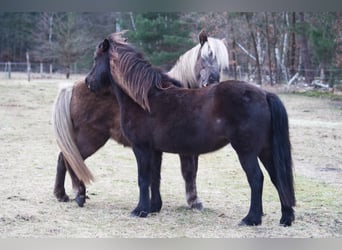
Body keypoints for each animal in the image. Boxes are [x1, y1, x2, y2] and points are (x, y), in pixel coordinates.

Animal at [52, 29, 228, 209]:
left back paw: (62, 194)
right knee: (69, 158)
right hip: (91, 139)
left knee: (65, 158)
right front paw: (193, 201)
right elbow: (188, 171)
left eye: (221, 65)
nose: (211, 83)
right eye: (204, 58)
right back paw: (78, 194)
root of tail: (73, 87)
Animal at [84, 33, 296, 227]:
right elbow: (154, 178)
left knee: (257, 179)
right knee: (277, 177)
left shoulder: (141, 148)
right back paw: (286, 218)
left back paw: (251, 219)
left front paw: (140, 210)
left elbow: (143, 178)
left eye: (96, 59)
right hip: (266, 149)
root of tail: (264, 93)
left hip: (247, 151)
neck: (146, 99)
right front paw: (154, 207)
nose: (88, 82)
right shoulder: (155, 150)